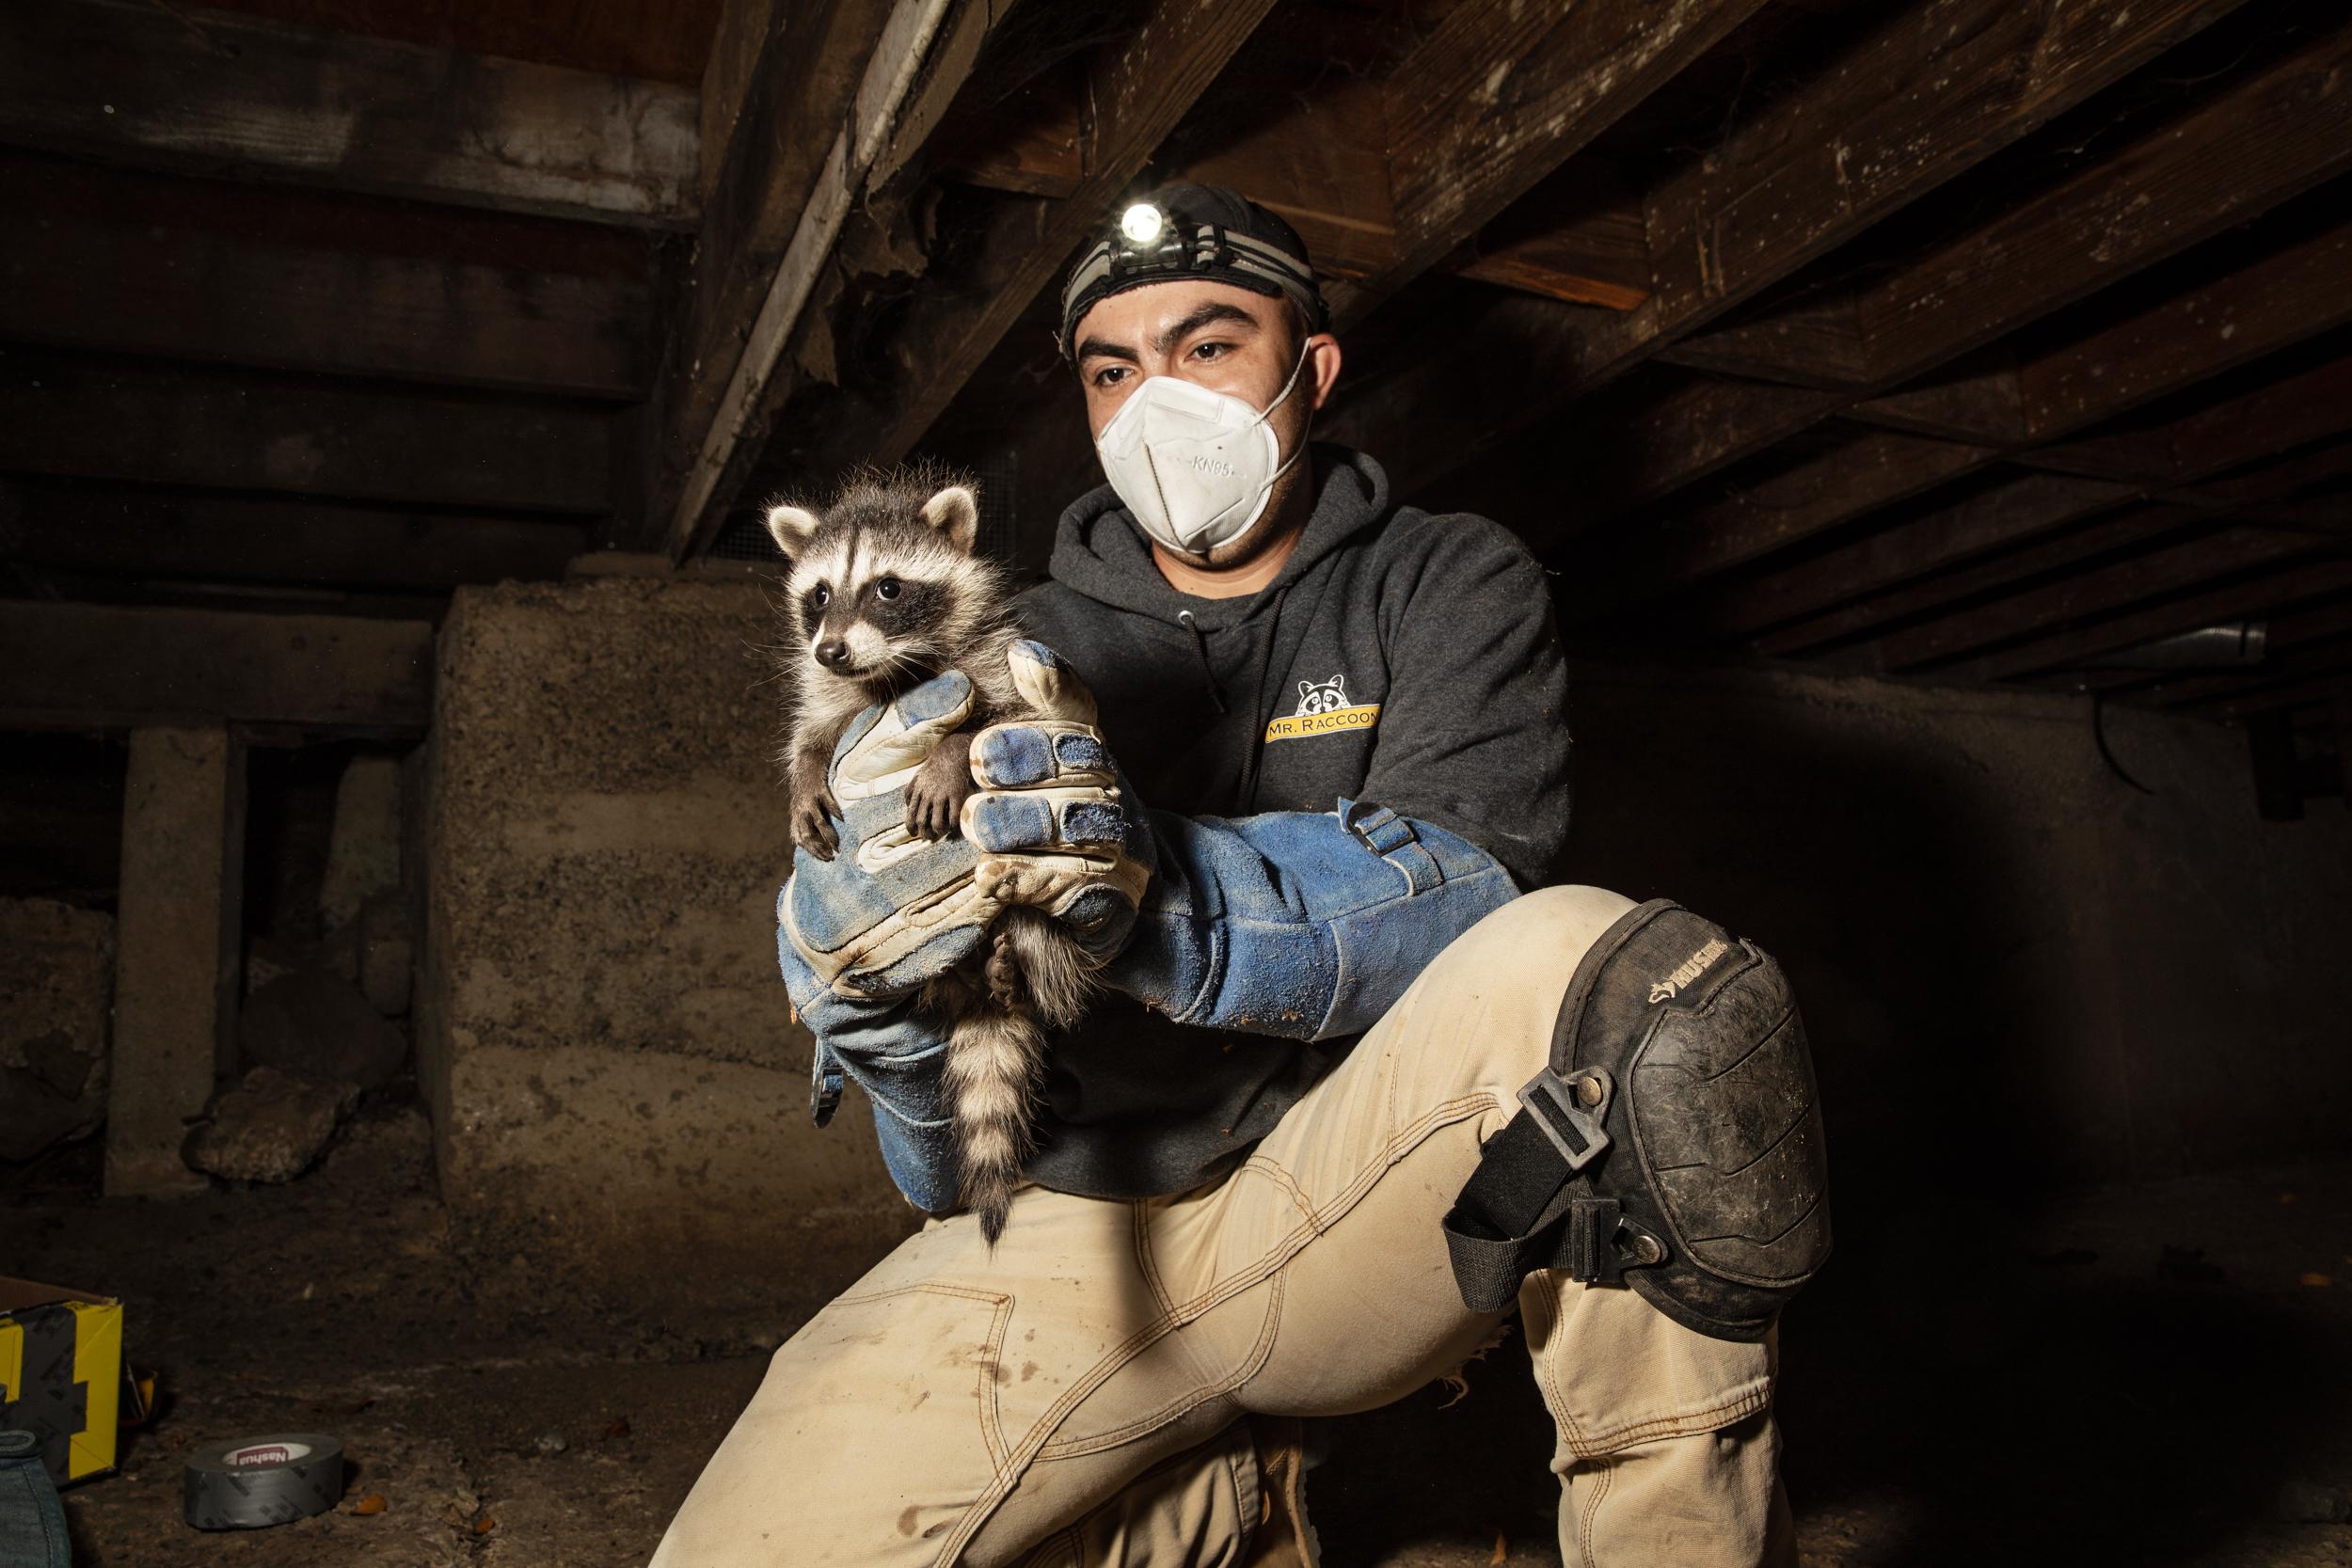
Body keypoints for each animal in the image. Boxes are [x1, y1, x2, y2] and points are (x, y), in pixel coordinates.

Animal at [767, 467, 1093, 1245]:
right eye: (817, 594)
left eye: (888, 587)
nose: (830, 649)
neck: (891, 676)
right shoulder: (832, 694)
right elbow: (814, 735)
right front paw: (805, 776)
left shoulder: (995, 660)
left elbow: (997, 719)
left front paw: (949, 755)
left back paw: (1015, 967)